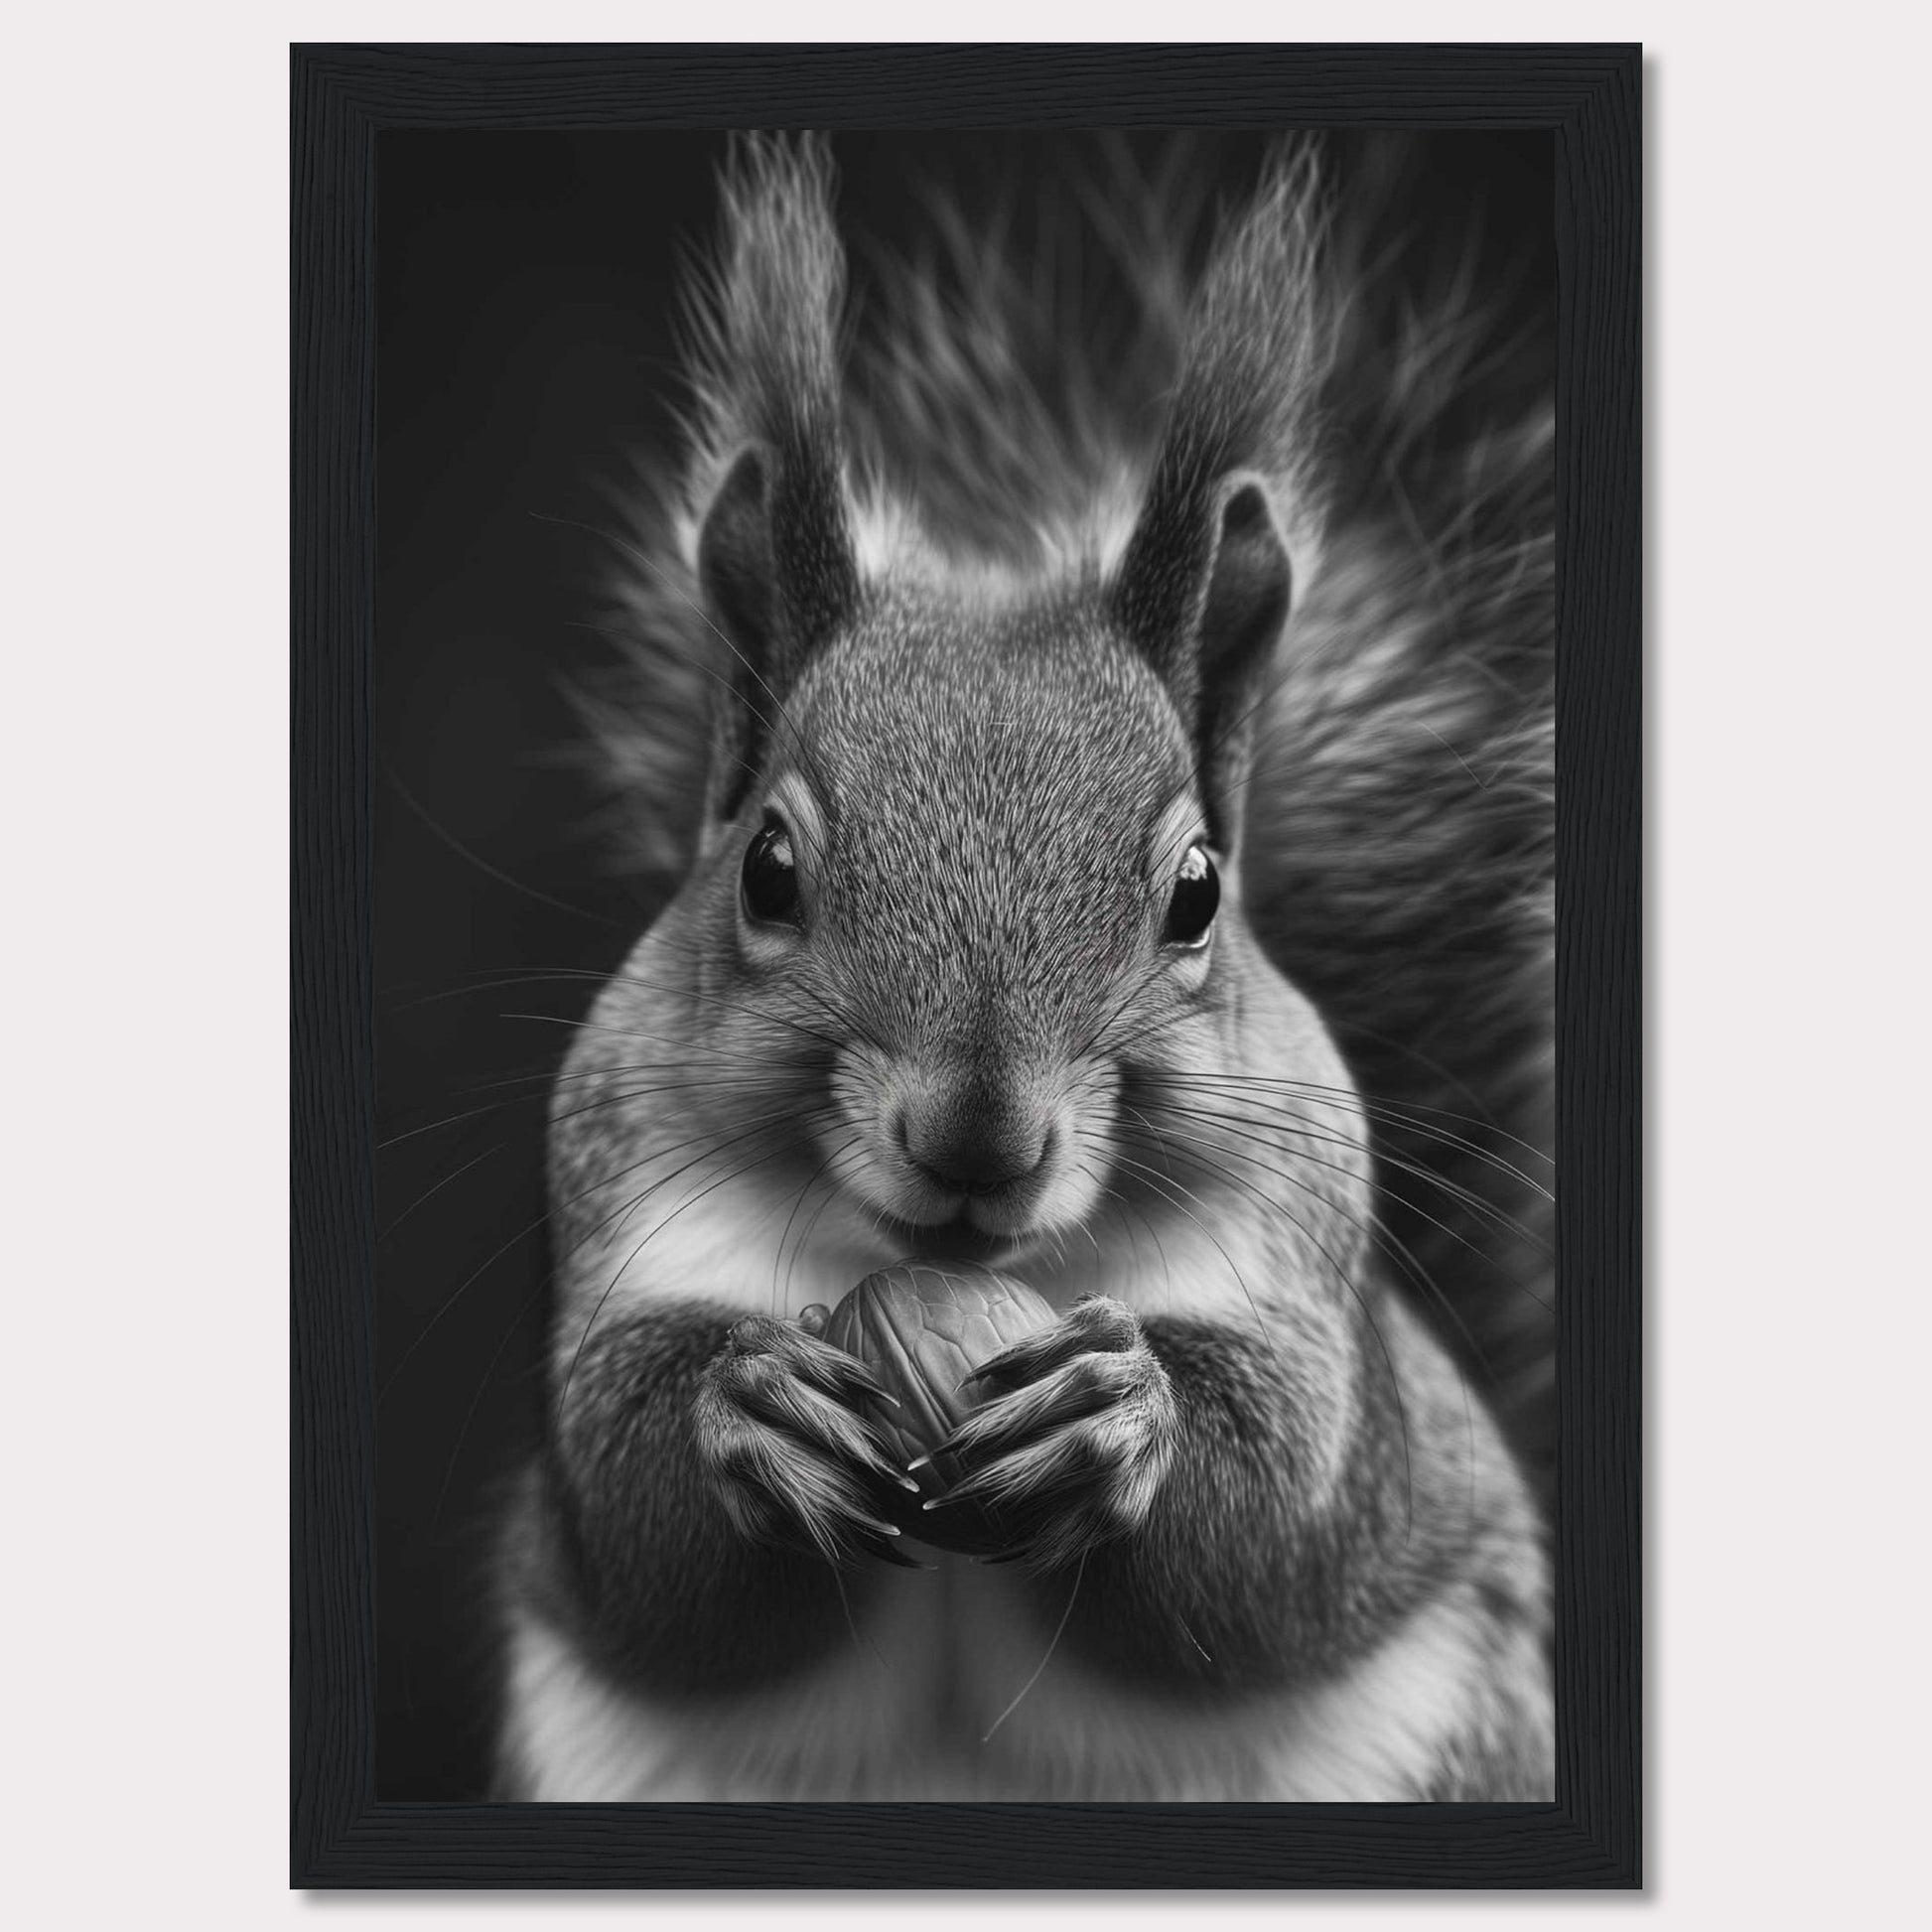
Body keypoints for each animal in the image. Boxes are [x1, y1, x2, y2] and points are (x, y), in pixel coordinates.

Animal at [498, 140, 1553, 1808]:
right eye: (764, 870)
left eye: (1195, 894)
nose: (978, 1142)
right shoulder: (614, 1223)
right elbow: (640, 1542)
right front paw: (750, 1409)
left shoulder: (1313, 1297)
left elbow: (1277, 1541)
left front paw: (1124, 1421)